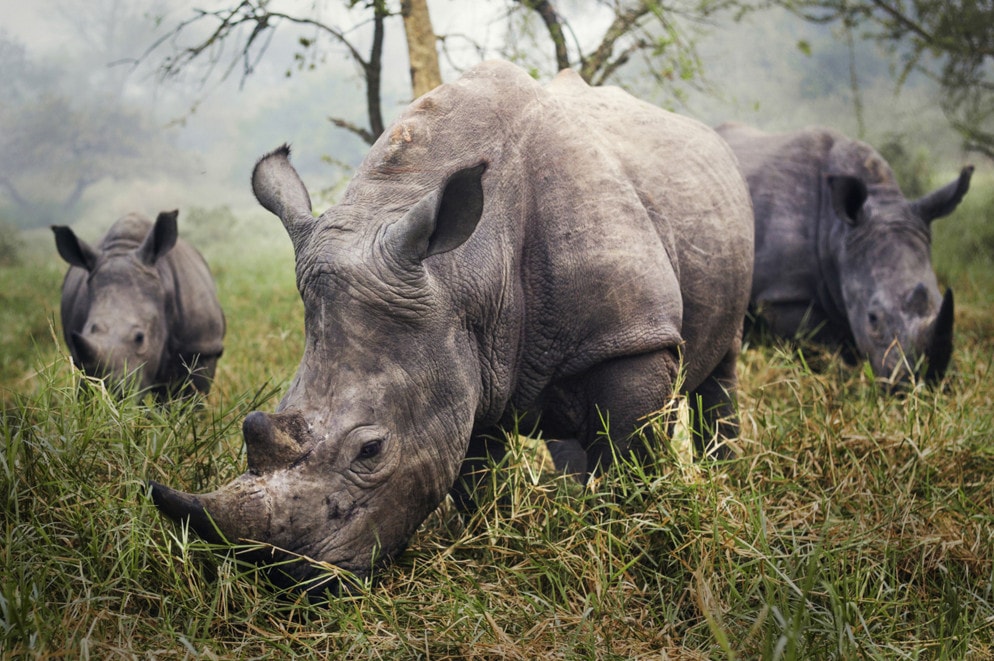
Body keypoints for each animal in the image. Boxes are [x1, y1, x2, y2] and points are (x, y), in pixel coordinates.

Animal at [149, 59, 752, 592]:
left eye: (371, 451)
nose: (289, 579)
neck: (463, 271)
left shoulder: (629, 338)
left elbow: (627, 455)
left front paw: (621, 541)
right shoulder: (464, 356)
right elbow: (473, 477)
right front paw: (492, 543)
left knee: (718, 369)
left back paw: (722, 478)